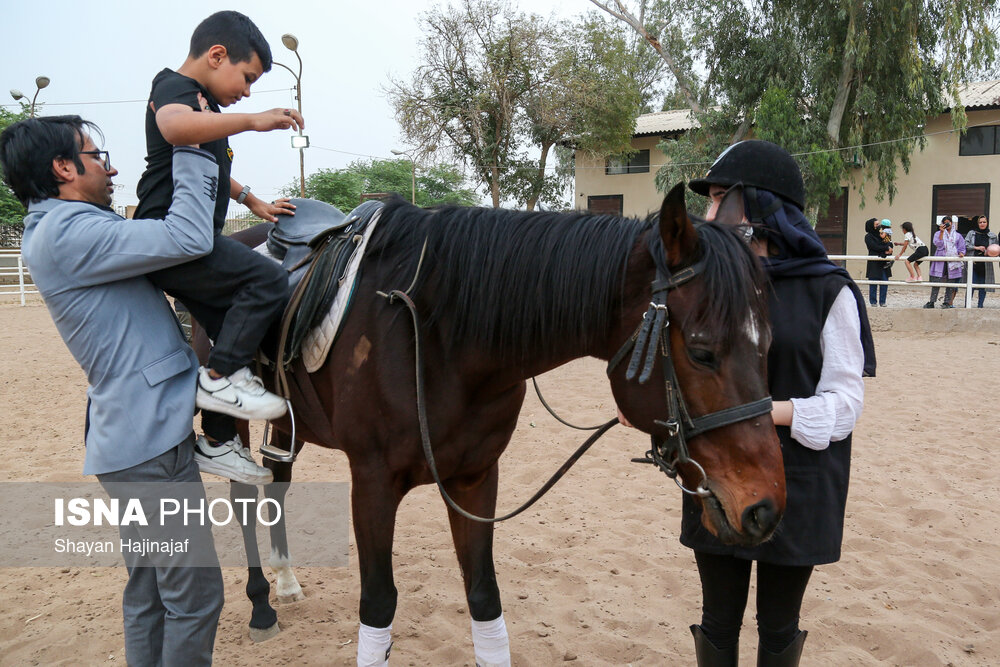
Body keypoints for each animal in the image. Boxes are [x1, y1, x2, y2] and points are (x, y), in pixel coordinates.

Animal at [213, 183, 788, 664]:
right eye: (702, 351)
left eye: (768, 345)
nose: (765, 509)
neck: (436, 331)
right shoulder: (372, 481)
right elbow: (377, 605)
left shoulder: (475, 477)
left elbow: (484, 599)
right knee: (243, 497)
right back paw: (261, 604)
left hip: (288, 423)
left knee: (278, 484)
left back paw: (287, 580)